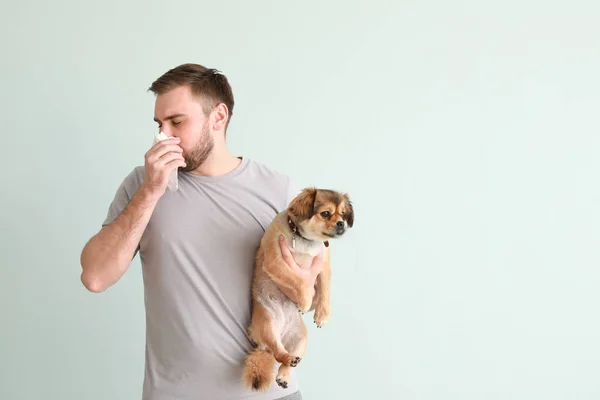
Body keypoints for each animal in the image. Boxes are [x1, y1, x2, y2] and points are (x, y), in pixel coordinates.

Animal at [241, 188, 354, 390]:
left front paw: (322, 314)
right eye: (326, 213)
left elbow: (325, 290)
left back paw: (284, 374)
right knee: (278, 353)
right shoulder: (276, 263)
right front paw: (305, 302)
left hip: (301, 339)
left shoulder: (323, 265)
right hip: (268, 324)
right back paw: (287, 358)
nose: (341, 224)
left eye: (343, 214)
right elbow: (300, 282)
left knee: (285, 358)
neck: (306, 241)